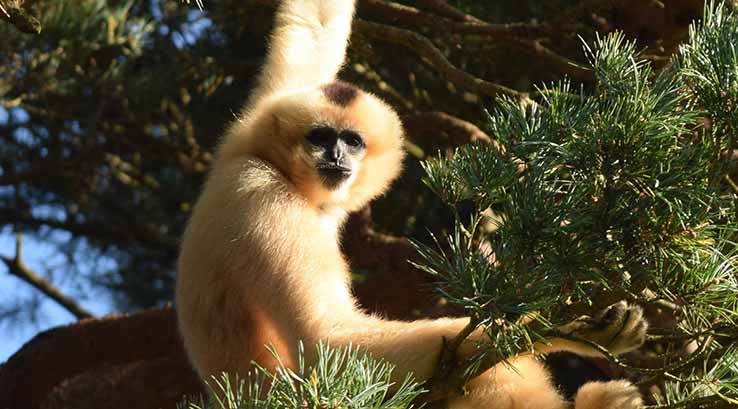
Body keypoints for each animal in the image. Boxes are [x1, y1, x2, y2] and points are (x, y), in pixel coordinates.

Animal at [175, 1, 647, 408]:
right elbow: (329, 339)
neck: (270, 163)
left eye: (352, 141)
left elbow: (314, 26)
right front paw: (567, 329)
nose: (336, 157)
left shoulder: (254, 122)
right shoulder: (263, 197)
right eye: (319, 137)